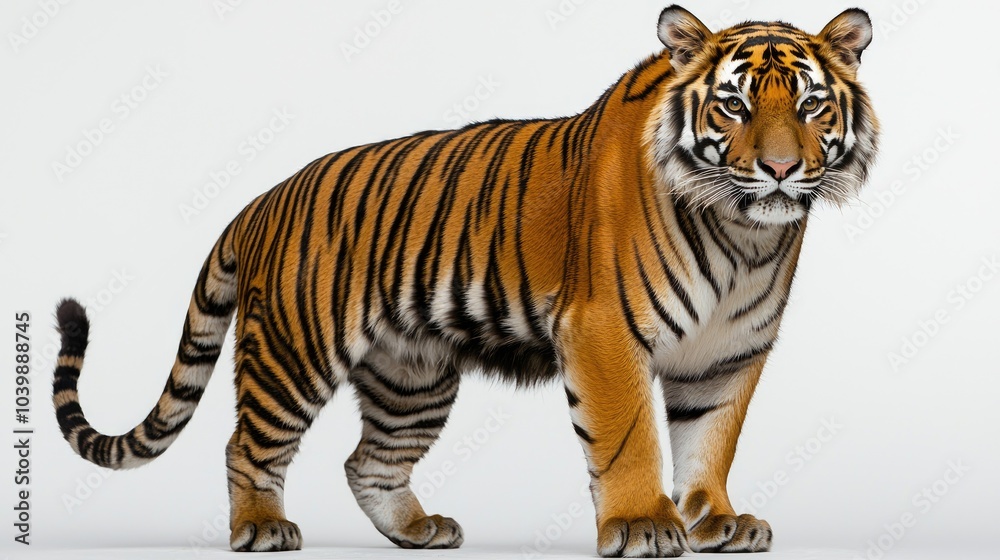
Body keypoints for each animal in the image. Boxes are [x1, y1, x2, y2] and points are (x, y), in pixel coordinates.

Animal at [52, 5, 878, 557]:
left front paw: (716, 521)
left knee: (367, 461)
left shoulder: (729, 352)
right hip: (294, 352)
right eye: (734, 104)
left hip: (410, 377)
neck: (746, 235)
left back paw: (419, 530)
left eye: (810, 104)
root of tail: (264, 199)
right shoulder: (604, 330)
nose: (780, 168)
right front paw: (645, 522)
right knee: (247, 445)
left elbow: (710, 440)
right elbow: (629, 438)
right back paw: (262, 527)